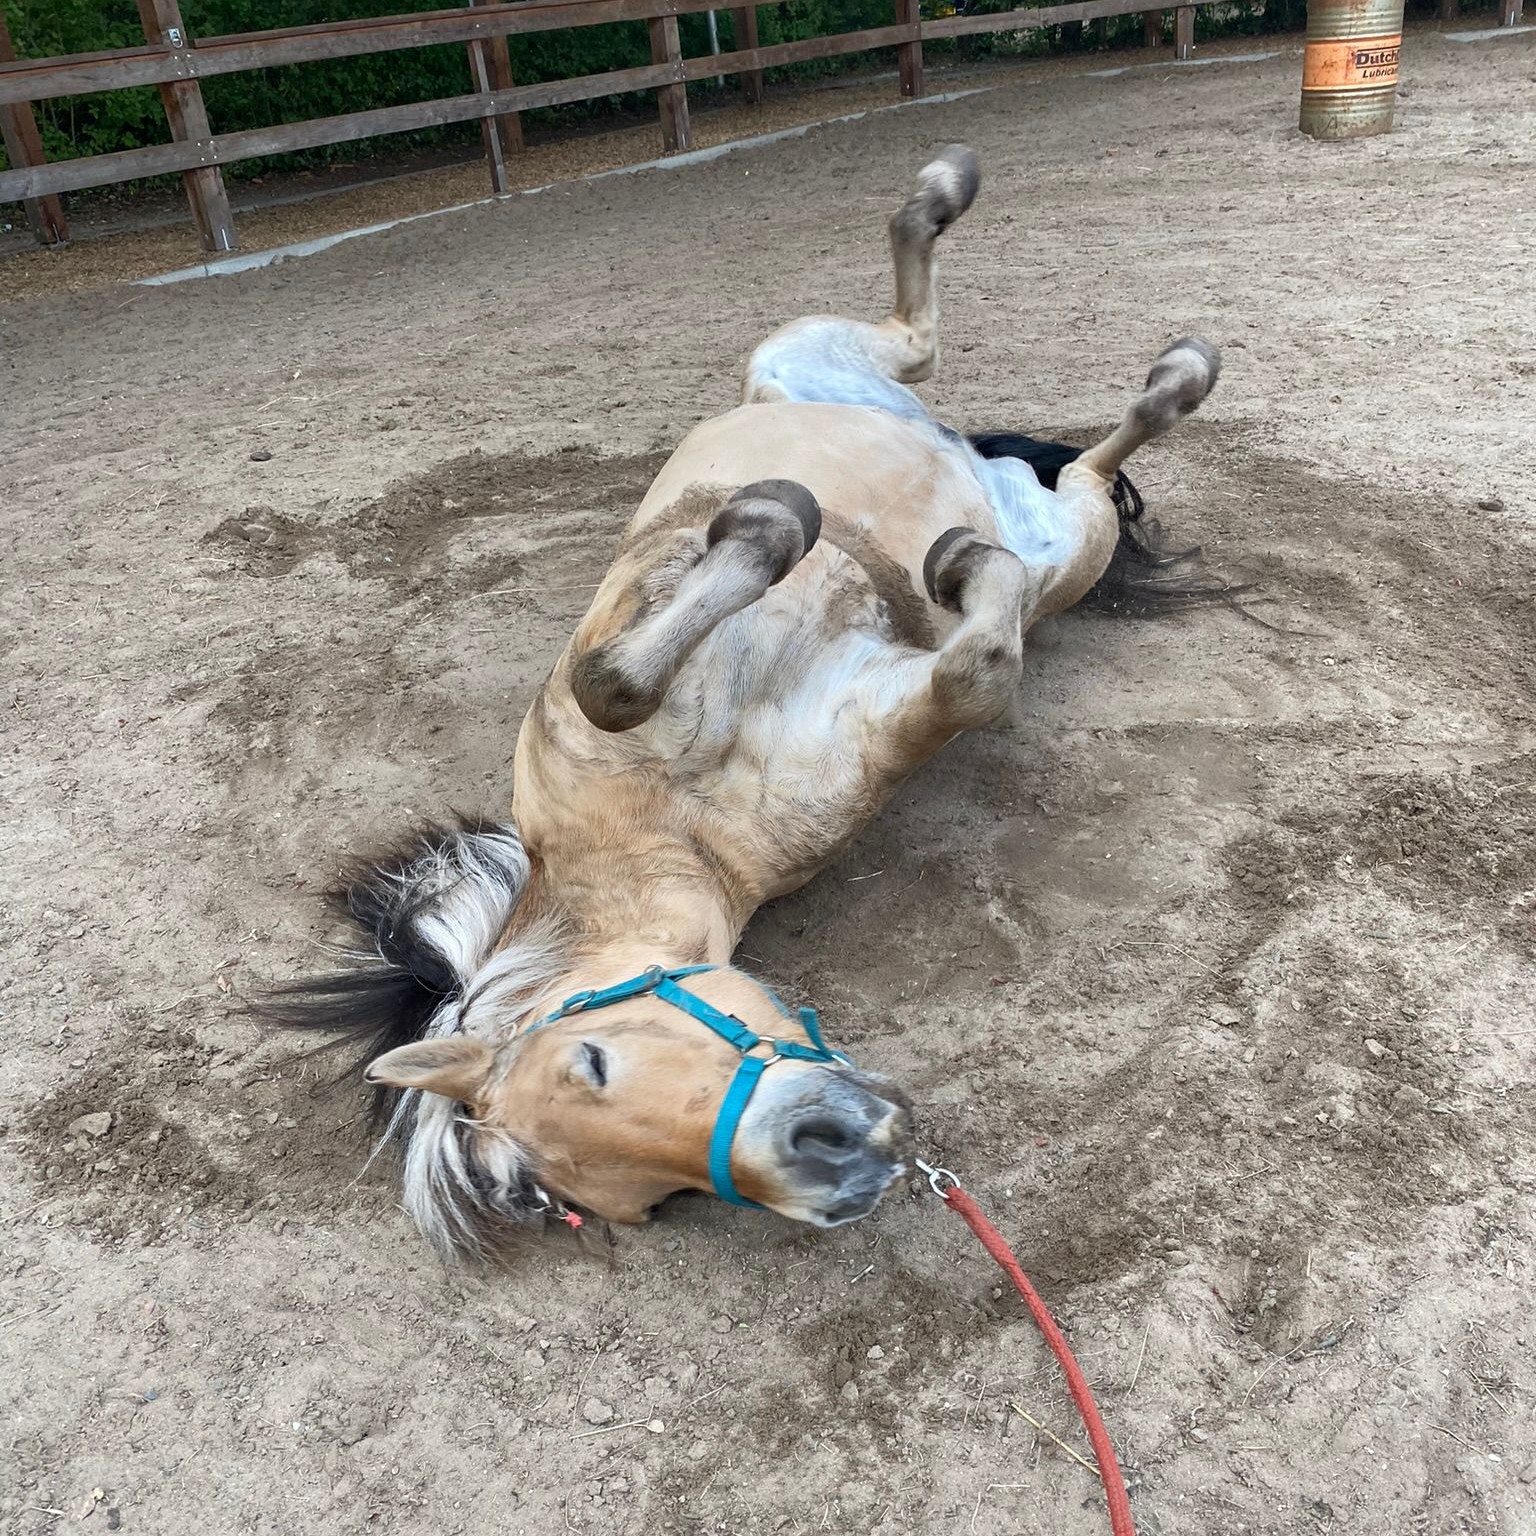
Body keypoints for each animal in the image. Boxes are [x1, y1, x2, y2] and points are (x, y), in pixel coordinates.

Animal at [269, 144, 1220, 1260]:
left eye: (592, 1060)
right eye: (661, 1201)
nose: (834, 1166)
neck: (681, 826)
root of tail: (965, 451)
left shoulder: (631, 639)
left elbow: (620, 677)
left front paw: (792, 525)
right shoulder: (892, 711)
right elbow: (978, 667)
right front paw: (959, 573)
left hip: (813, 363)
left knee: (942, 353)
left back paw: (986, 223)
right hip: (1068, 535)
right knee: (1080, 460)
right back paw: (1147, 391)